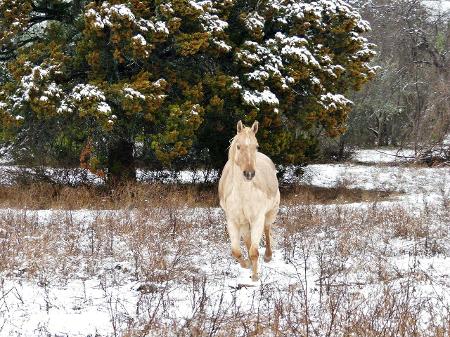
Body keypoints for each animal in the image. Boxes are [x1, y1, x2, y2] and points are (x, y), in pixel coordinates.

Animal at [217, 119, 278, 280]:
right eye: (238, 146)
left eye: (256, 146)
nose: (249, 174)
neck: (242, 194)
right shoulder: (232, 221)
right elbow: (236, 251)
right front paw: (246, 265)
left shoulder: (257, 219)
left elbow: (254, 251)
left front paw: (255, 277)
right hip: (244, 223)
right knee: (247, 238)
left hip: (271, 213)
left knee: (267, 230)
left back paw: (268, 256)